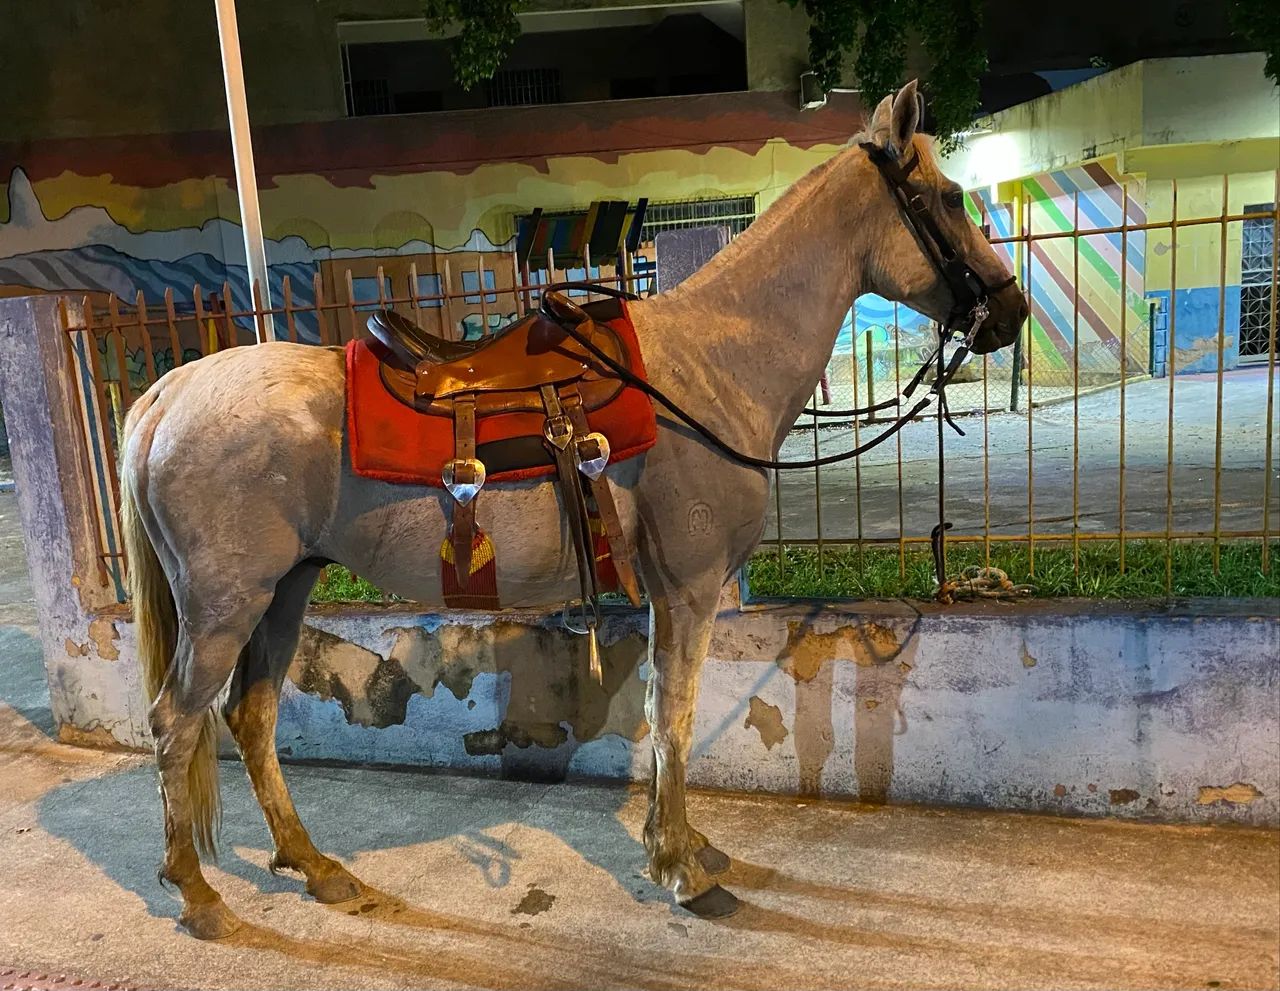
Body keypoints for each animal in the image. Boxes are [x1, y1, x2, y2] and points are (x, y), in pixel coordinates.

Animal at [119, 80, 1027, 939]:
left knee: (250, 714)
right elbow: (674, 716)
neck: (709, 369)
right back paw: (197, 892)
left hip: (286, 589)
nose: (1011, 313)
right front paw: (679, 866)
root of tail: (166, 395)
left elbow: (665, 714)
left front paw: (682, 844)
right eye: (948, 198)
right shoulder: (688, 589)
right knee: (175, 720)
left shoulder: (669, 594)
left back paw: (314, 865)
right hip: (227, 605)